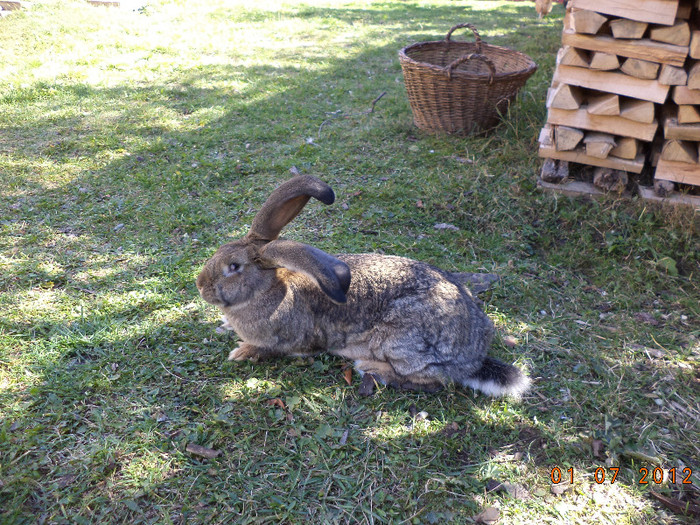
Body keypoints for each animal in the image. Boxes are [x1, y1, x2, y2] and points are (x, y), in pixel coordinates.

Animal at [194, 175, 528, 398]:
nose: (200, 287)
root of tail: (474, 357)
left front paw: (241, 352)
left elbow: (273, 349)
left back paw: (373, 369)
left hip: (402, 343)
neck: (270, 290)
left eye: (234, 267)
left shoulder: (294, 343)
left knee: (433, 381)